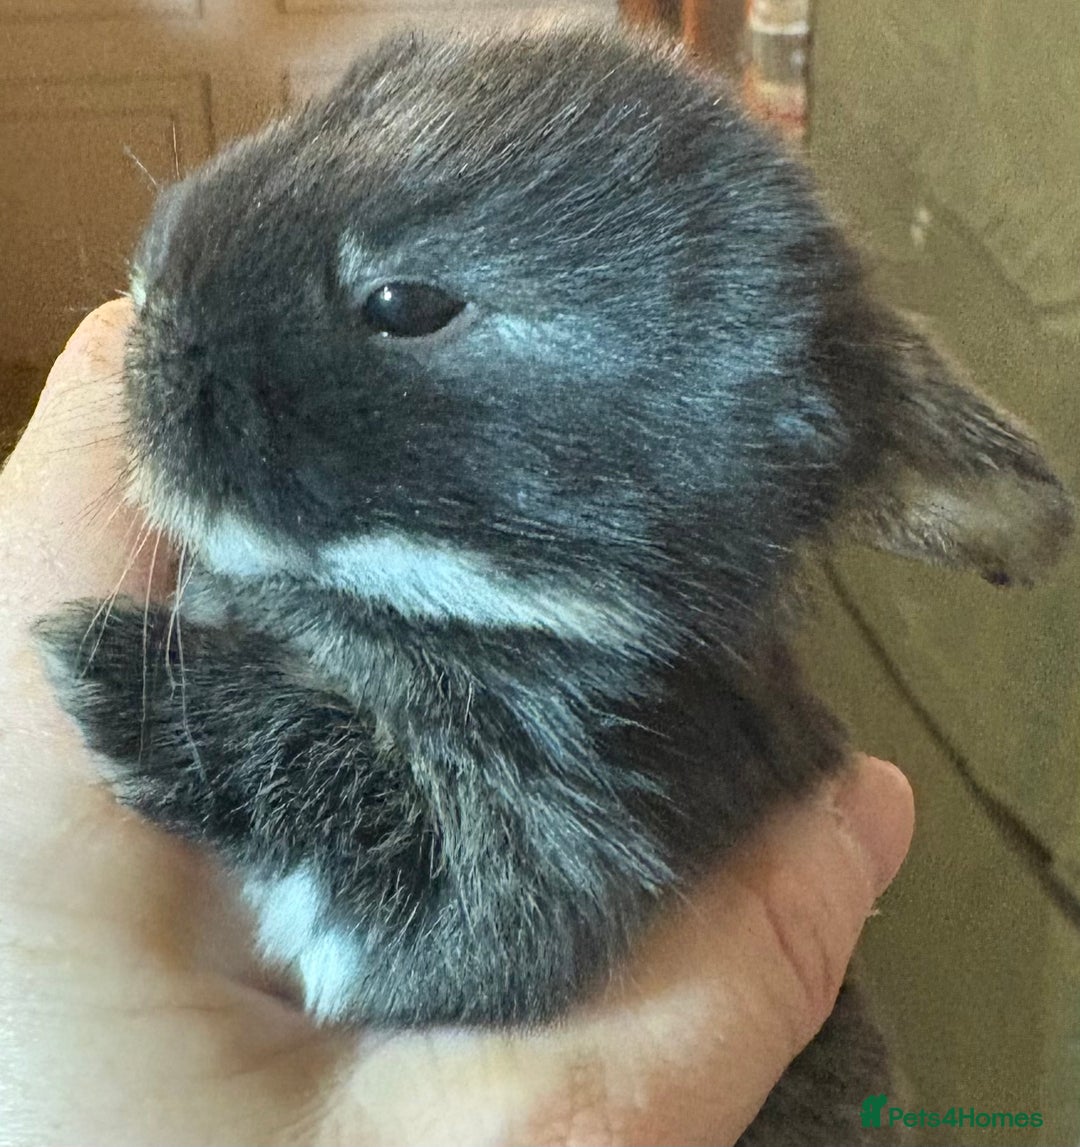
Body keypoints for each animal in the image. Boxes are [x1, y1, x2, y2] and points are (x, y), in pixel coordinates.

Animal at [37, 24, 1073, 1144]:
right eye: (346, 95)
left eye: (407, 305)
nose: (150, 299)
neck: (490, 606)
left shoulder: (523, 869)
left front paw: (103, 666)